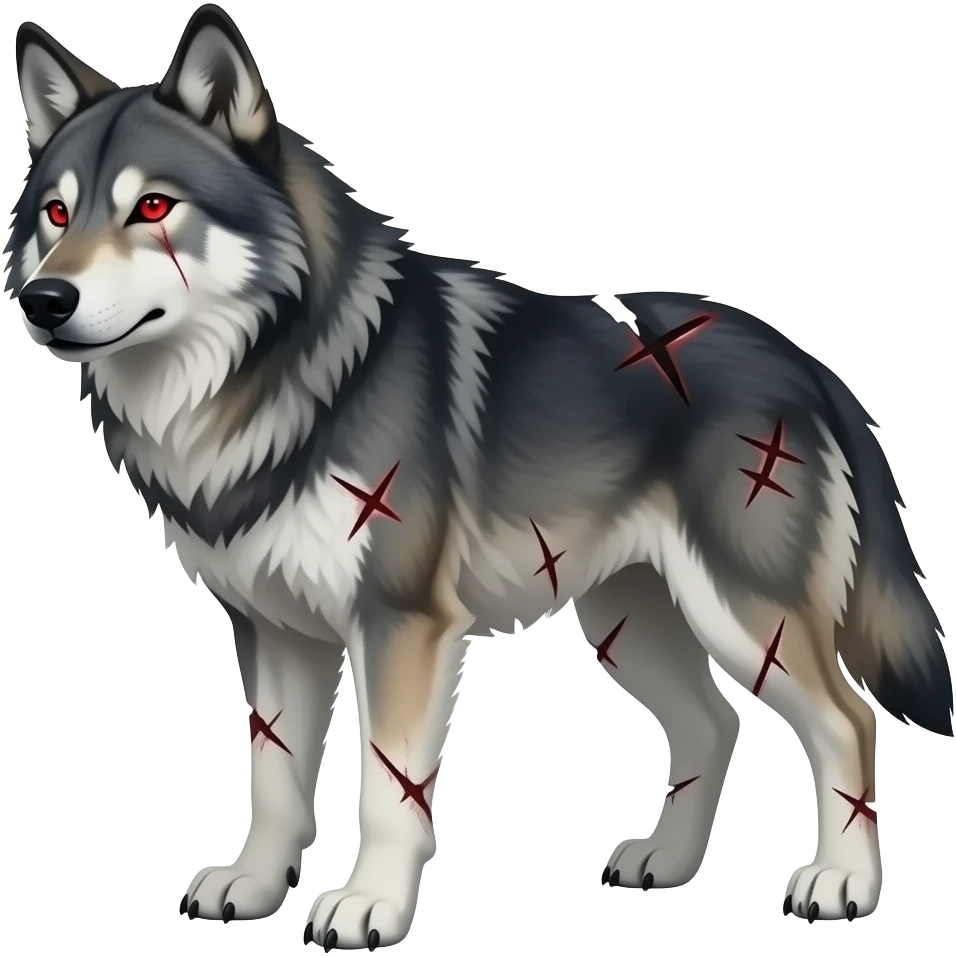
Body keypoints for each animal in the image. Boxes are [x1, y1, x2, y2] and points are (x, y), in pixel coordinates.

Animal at [6, 4, 953, 946]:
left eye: (152, 206)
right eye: (55, 213)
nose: (42, 301)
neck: (274, 378)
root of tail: (809, 366)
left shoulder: (400, 623)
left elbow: (387, 787)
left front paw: (369, 906)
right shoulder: (273, 629)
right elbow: (273, 780)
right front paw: (251, 886)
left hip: (747, 619)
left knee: (848, 722)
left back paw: (841, 883)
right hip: (631, 625)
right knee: (715, 724)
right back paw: (666, 864)